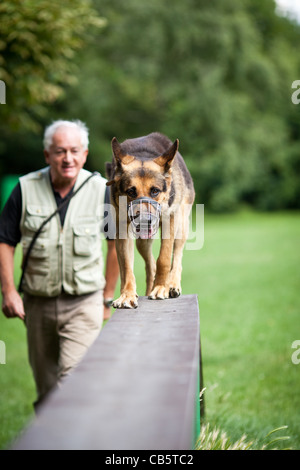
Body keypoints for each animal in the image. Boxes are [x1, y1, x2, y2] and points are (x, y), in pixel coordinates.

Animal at [106, 132, 196, 308]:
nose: (145, 220)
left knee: (177, 257)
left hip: (181, 227)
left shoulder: (170, 221)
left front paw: (161, 287)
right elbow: (126, 266)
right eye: (131, 191)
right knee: (150, 265)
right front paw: (127, 294)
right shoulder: (122, 231)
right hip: (142, 242)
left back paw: (172, 284)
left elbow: (165, 258)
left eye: (155, 191)